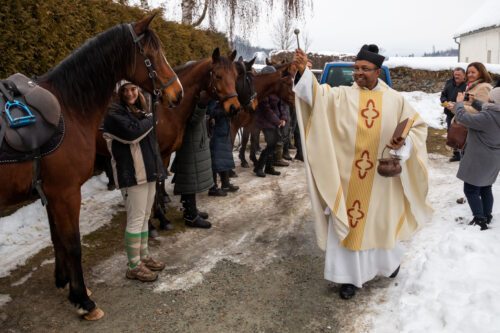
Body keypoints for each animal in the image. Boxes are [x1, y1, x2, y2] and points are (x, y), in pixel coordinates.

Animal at [0, 15, 183, 320]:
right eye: (152, 52)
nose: (177, 92)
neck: (69, 106)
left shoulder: (51, 194)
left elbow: (57, 239)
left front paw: (64, 281)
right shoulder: (66, 193)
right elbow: (73, 244)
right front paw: (83, 301)